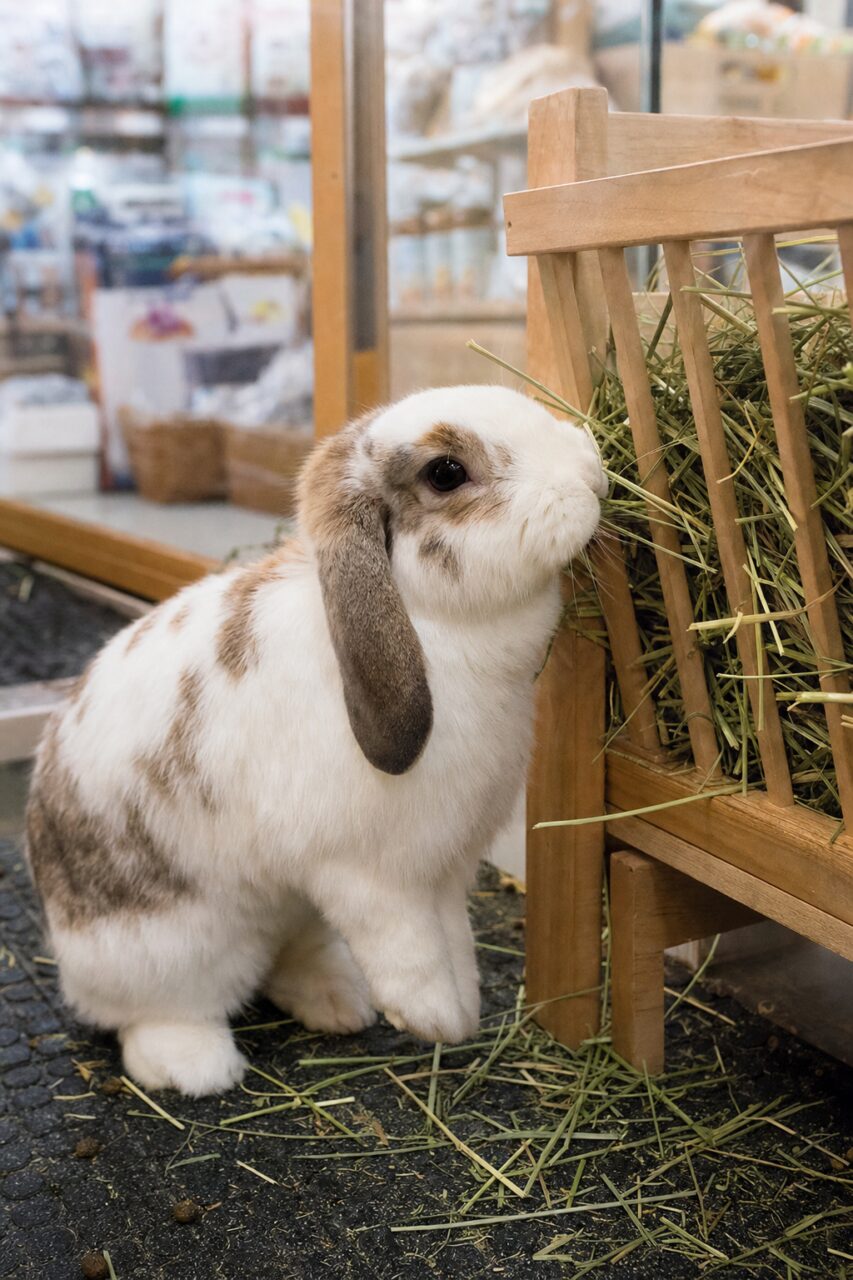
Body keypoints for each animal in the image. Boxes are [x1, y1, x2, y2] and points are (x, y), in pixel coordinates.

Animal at [25, 384, 606, 1097]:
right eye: (446, 472)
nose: (590, 473)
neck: (429, 625)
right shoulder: (369, 877)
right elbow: (409, 949)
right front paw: (434, 1019)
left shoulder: (444, 871)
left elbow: (455, 939)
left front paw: (466, 1007)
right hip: (165, 949)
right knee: (150, 1015)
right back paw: (198, 1067)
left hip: (290, 911)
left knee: (286, 958)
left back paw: (340, 1003)